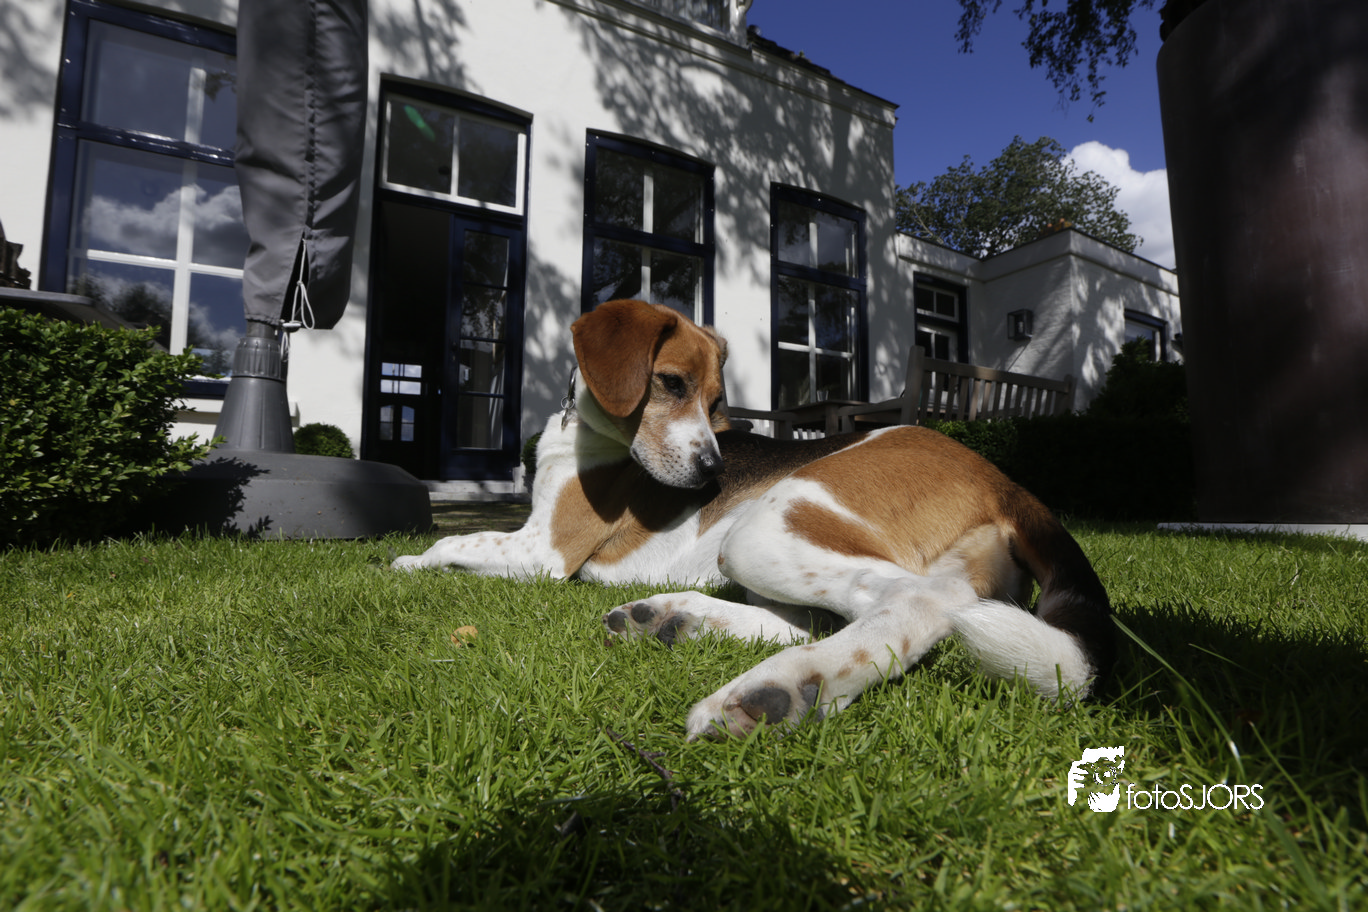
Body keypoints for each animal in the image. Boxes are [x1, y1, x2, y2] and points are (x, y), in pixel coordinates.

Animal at [394, 299, 1114, 739]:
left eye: (716, 401)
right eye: (672, 384)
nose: (714, 468)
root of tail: (1007, 481)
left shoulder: (544, 550)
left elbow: (455, 540)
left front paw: (403, 558)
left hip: (763, 530)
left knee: (920, 603)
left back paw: (782, 689)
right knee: (818, 617)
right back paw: (674, 618)